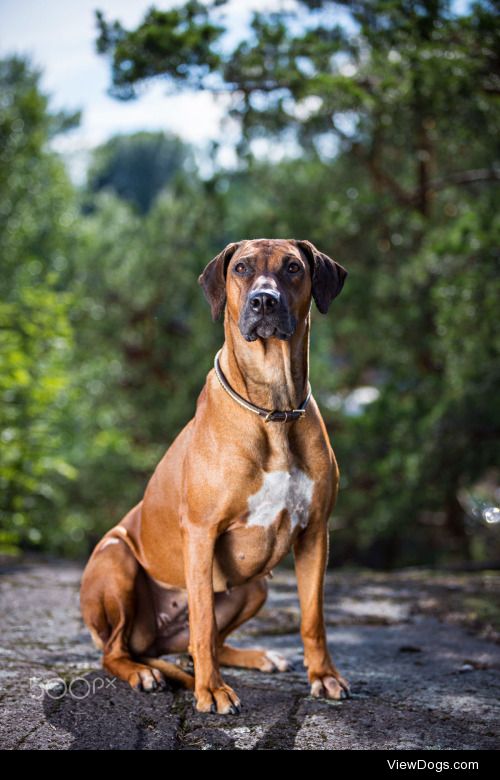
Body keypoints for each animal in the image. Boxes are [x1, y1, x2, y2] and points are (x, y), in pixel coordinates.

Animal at [80, 238, 350, 712]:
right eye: (241, 268)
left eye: (293, 268)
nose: (264, 301)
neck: (273, 408)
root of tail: (154, 640)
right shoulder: (202, 533)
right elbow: (204, 624)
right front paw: (211, 690)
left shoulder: (316, 531)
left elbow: (313, 617)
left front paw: (324, 676)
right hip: (117, 559)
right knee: (118, 651)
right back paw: (143, 672)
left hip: (254, 587)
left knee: (198, 643)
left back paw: (255, 656)